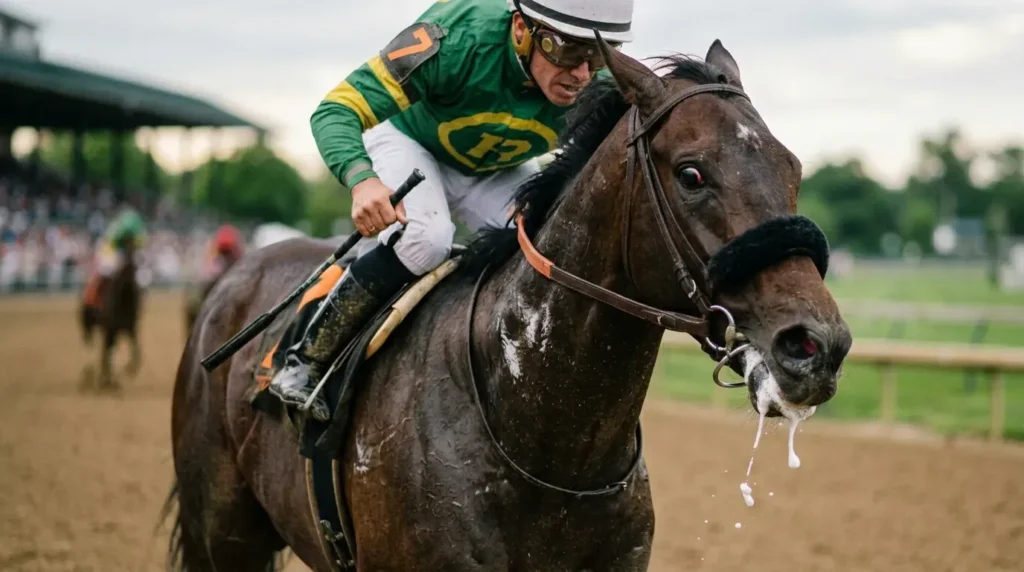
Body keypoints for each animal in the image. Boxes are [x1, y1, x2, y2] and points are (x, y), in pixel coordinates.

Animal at [79, 234, 143, 390]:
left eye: (137, 246)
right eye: (125, 245)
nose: (132, 263)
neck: (124, 300)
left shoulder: (130, 328)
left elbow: (137, 353)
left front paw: (129, 369)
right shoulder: (112, 327)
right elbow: (109, 351)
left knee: (106, 349)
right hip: (88, 325)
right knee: (91, 346)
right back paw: (90, 376)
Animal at [166, 39, 851, 571]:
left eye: (792, 167)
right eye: (691, 173)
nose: (818, 346)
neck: (552, 450)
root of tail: (235, 276)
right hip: (221, 533)